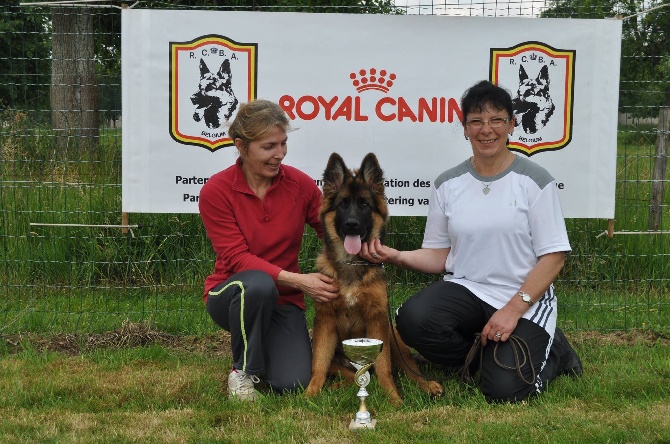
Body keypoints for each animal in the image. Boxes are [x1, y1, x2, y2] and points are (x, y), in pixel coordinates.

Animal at [306, 153, 446, 406]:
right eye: (342, 204)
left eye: (364, 205)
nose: (351, 224)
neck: (351, 263)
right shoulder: (325, 322)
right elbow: (318, 365)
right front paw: (309, 394)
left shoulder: (377, 320)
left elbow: (384, 368)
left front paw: (393, 397)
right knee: (351, 376)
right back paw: (337, 387)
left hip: (392, 336)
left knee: (409, 370)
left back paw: (428, 385)